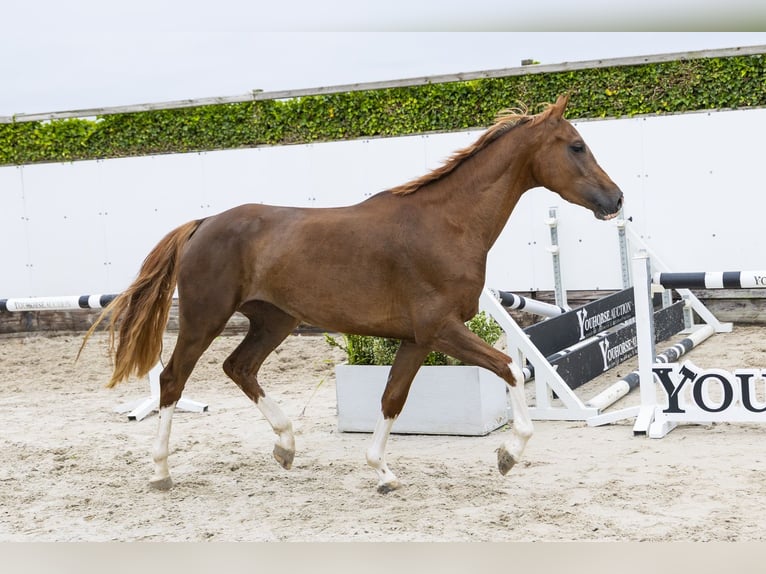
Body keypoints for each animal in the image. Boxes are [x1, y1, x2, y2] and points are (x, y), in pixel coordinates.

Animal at [82, 94, 623, 494]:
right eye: (576, 146)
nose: (616, 199)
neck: (447, 224)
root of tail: (203, 223)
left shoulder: (418, 339)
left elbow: (392, 398)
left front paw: (382, 472)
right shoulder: (441, 329)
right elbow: (509, 366)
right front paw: (508, 454)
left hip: (273, 319)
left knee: (239, 367)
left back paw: (286, 446)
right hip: (204, 317)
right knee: (173, 379)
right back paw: (160, 471)